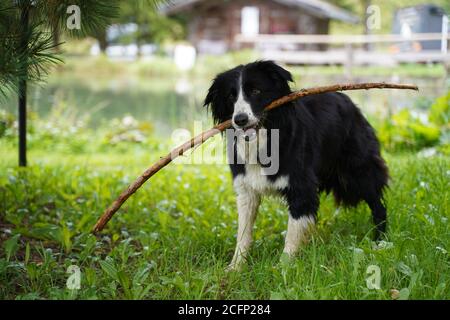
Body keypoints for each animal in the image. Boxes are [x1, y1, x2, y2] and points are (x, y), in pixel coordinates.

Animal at [203, 60, 386, 270]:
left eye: (256, 91)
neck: (264, 139)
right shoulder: (246, 188)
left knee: (377, 204)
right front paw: (235, 268)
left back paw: (380, 242)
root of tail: (348, 101)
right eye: (231, 96)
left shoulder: (301, 187)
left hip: (359, 169)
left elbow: (293, 231)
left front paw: (284, 268)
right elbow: (243, 232)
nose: (240, 120)